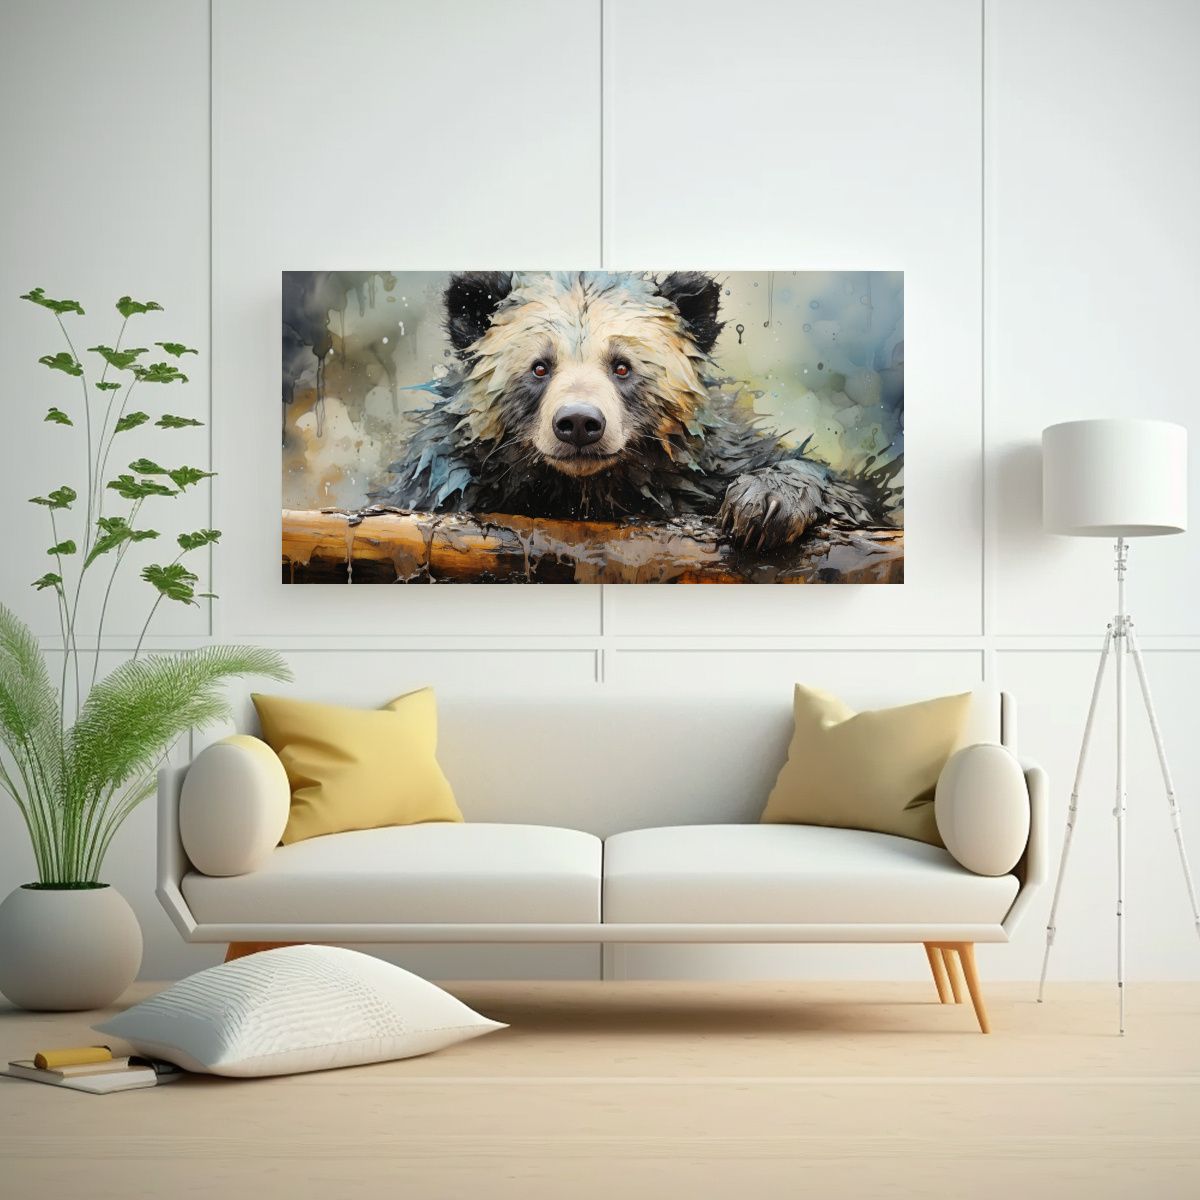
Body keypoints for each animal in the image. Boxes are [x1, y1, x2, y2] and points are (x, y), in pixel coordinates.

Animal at [370, 271, 899, 552]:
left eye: (622, 366)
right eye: (540, 367)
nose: (579, 423)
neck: (582, 491)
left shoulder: (704, 468)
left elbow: (854, 495)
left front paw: (765, 505)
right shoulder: (446, 476)